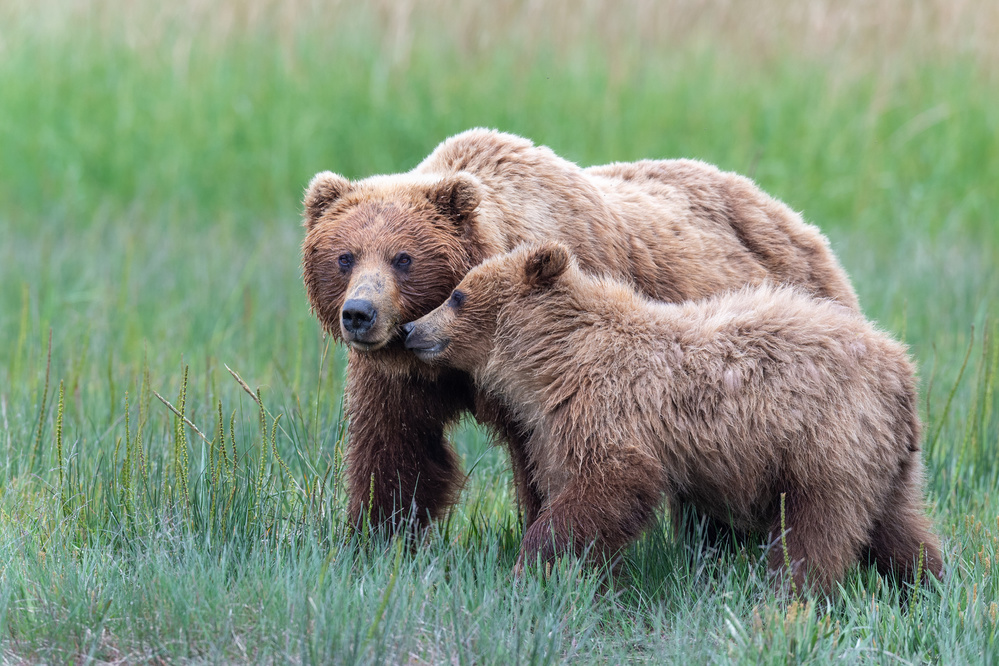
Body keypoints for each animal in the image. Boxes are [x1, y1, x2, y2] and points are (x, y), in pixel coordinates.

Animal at [298, 130, 860, 532]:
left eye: (403, 258)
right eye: (345, 256)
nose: (360, 314)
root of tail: (794, 218)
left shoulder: (547, 370)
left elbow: (549, 461)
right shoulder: (406, 373)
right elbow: (397, 449)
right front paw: (376, 538)